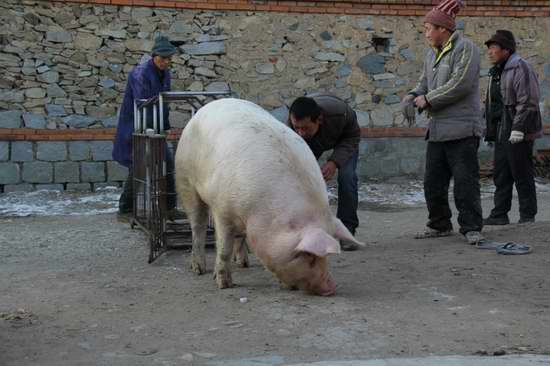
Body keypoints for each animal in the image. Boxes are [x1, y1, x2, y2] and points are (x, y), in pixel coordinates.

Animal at [174, 98, 362, 296]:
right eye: (308, 256)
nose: (332, 287)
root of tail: (207, 107)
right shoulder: (222, 209)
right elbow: (224, 247)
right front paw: (224, 285)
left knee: (237, 236)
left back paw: (243, 264)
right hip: (185, 179)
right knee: (198, 225)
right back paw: (199, 269)